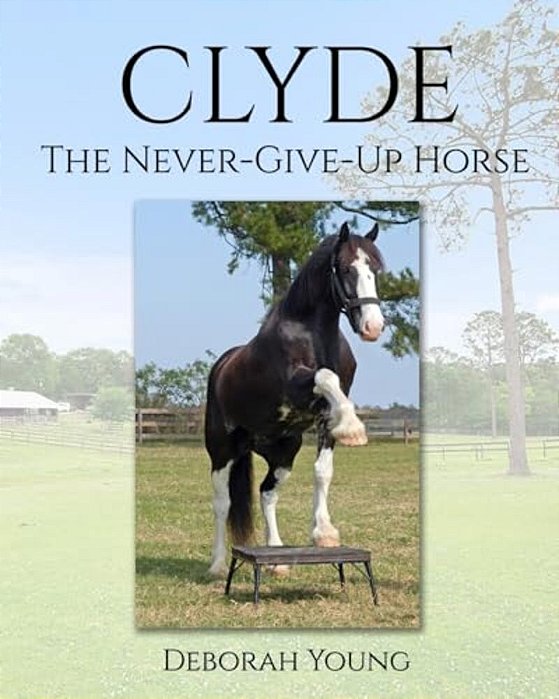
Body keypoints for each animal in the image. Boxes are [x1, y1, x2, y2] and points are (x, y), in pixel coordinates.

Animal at [205, 221, 385, 576]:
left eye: (375, 269)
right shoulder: (296, 383)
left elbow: (322, 471)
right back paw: (217, 565)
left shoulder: (322, 417)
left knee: (266, 493)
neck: (312, 333)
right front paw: (354, 429)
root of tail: (221, 366)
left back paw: (277, 558)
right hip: (222, 450)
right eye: (346, 268)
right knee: (222, 502)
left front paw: (324, 533)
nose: (373, 326)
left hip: (283, 452)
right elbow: (325, 377)